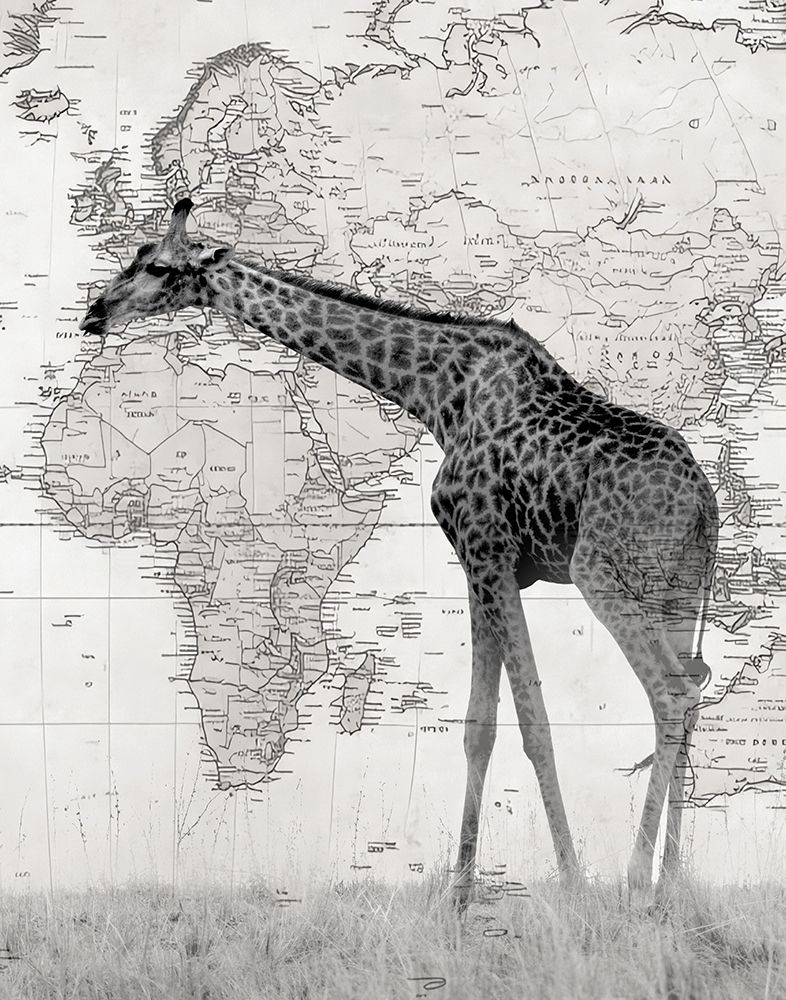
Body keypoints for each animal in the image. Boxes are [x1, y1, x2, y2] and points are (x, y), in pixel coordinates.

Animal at [80, 198, 718, 904]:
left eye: (159, 267)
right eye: (134, 257)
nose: (94, 312)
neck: (435, 394)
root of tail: (705, 505)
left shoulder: (486, 549)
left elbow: (531, 720)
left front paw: (572, 883)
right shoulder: (486, 566)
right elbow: (478, 726)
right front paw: (460, 889)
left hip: (602, 572)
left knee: (668, 692)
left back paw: (636, 881)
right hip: (677, 588)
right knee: (694, 688)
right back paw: (674, 879)